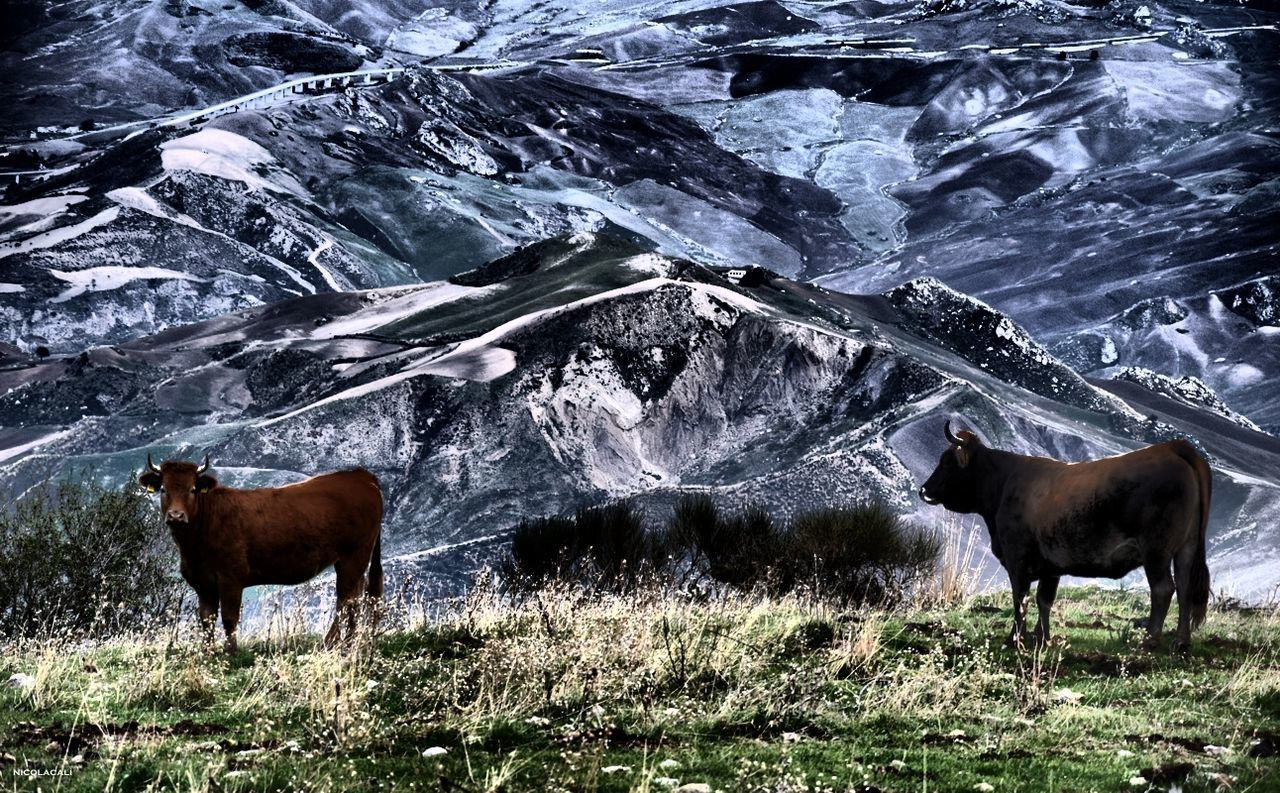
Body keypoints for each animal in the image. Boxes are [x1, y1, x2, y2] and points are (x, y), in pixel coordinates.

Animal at [139, 455, 381, 654]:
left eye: (192, 489)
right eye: (163, 489)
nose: (176, 516)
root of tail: (360, 475)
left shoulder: (231, 578)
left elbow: (229, 617)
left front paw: (230, 652)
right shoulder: (203, 583)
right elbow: (206, 619)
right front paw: (206, 652)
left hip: (355, 556)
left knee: (346, 600)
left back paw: (332, 642)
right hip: (350, 561)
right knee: (356, 598)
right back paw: (348, 642)